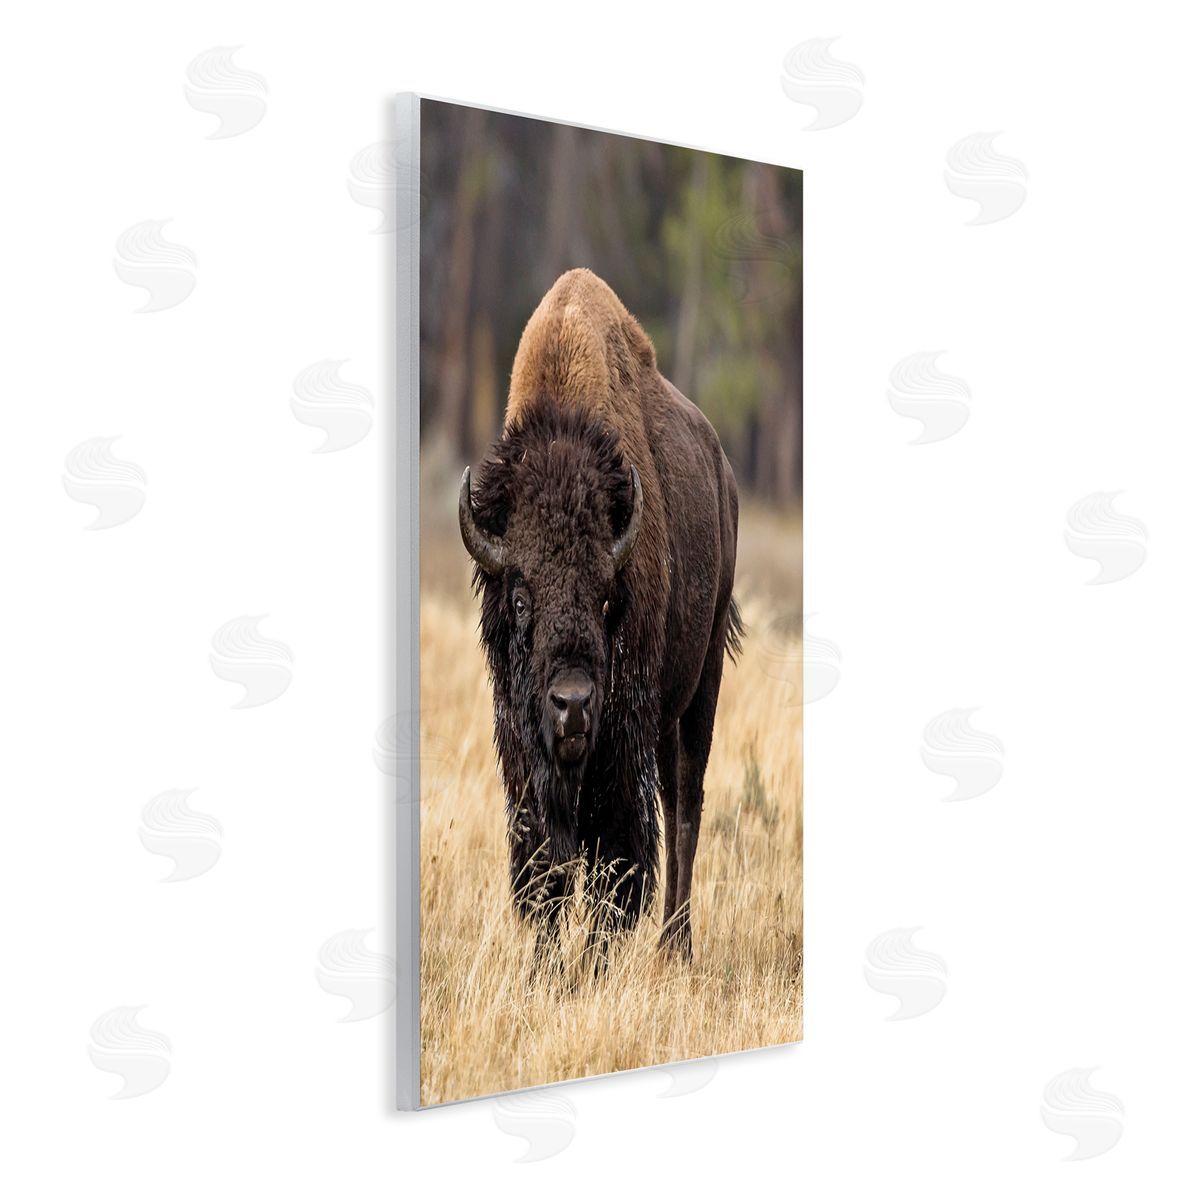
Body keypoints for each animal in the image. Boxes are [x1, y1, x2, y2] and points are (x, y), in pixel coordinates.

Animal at [459, 268, 742, 963]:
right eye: (521, 598)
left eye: (607, 596)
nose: (573, 704)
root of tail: (723, 470)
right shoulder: (523, 752)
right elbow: (546, 870)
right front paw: (546, 968)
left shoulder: (621, 742)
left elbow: (616, 863)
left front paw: (591, 964)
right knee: (672, 799)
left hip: (702, 684)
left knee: (685, 804)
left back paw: (676, 946)